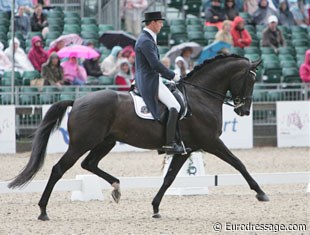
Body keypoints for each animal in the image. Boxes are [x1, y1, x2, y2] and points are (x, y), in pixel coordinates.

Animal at [7, 54, 268, 220]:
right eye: (251, 79)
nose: (244, 110)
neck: (200, 97)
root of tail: (77, 101)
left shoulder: (187, 149)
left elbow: (169, 178)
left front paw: (155, 208)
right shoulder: (211, 142)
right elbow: (239, 163)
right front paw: (260, 192)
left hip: (106, 142)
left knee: (89, 164)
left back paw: (116, 187)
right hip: (82, 143)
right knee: (59, 169)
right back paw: (43, 211)